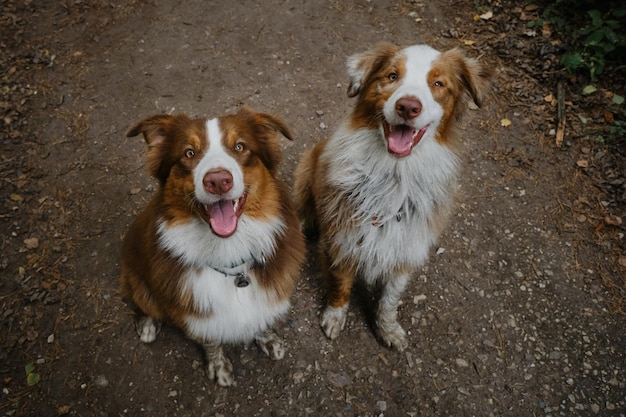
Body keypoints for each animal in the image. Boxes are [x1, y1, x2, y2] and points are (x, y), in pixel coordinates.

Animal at [120, 106, 304, 384]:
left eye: (239, 147)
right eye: (189, 153)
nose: (218, 181)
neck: (229, 255)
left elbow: (261, 318)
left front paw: (267, 338)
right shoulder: (195, 314)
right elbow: (210, 339)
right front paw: (218, 365)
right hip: (136, 274)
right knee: (143, 301)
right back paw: (149, 324)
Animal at [294, 44, 490, 352]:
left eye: (438, 83)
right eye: (392, 75)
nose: (408, 107)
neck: (395, 177)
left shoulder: (405, 247)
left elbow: (390, 300)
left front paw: (387, 330)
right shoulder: (343, 240)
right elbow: (340, 285)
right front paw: (334, 316)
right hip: (305, 169)